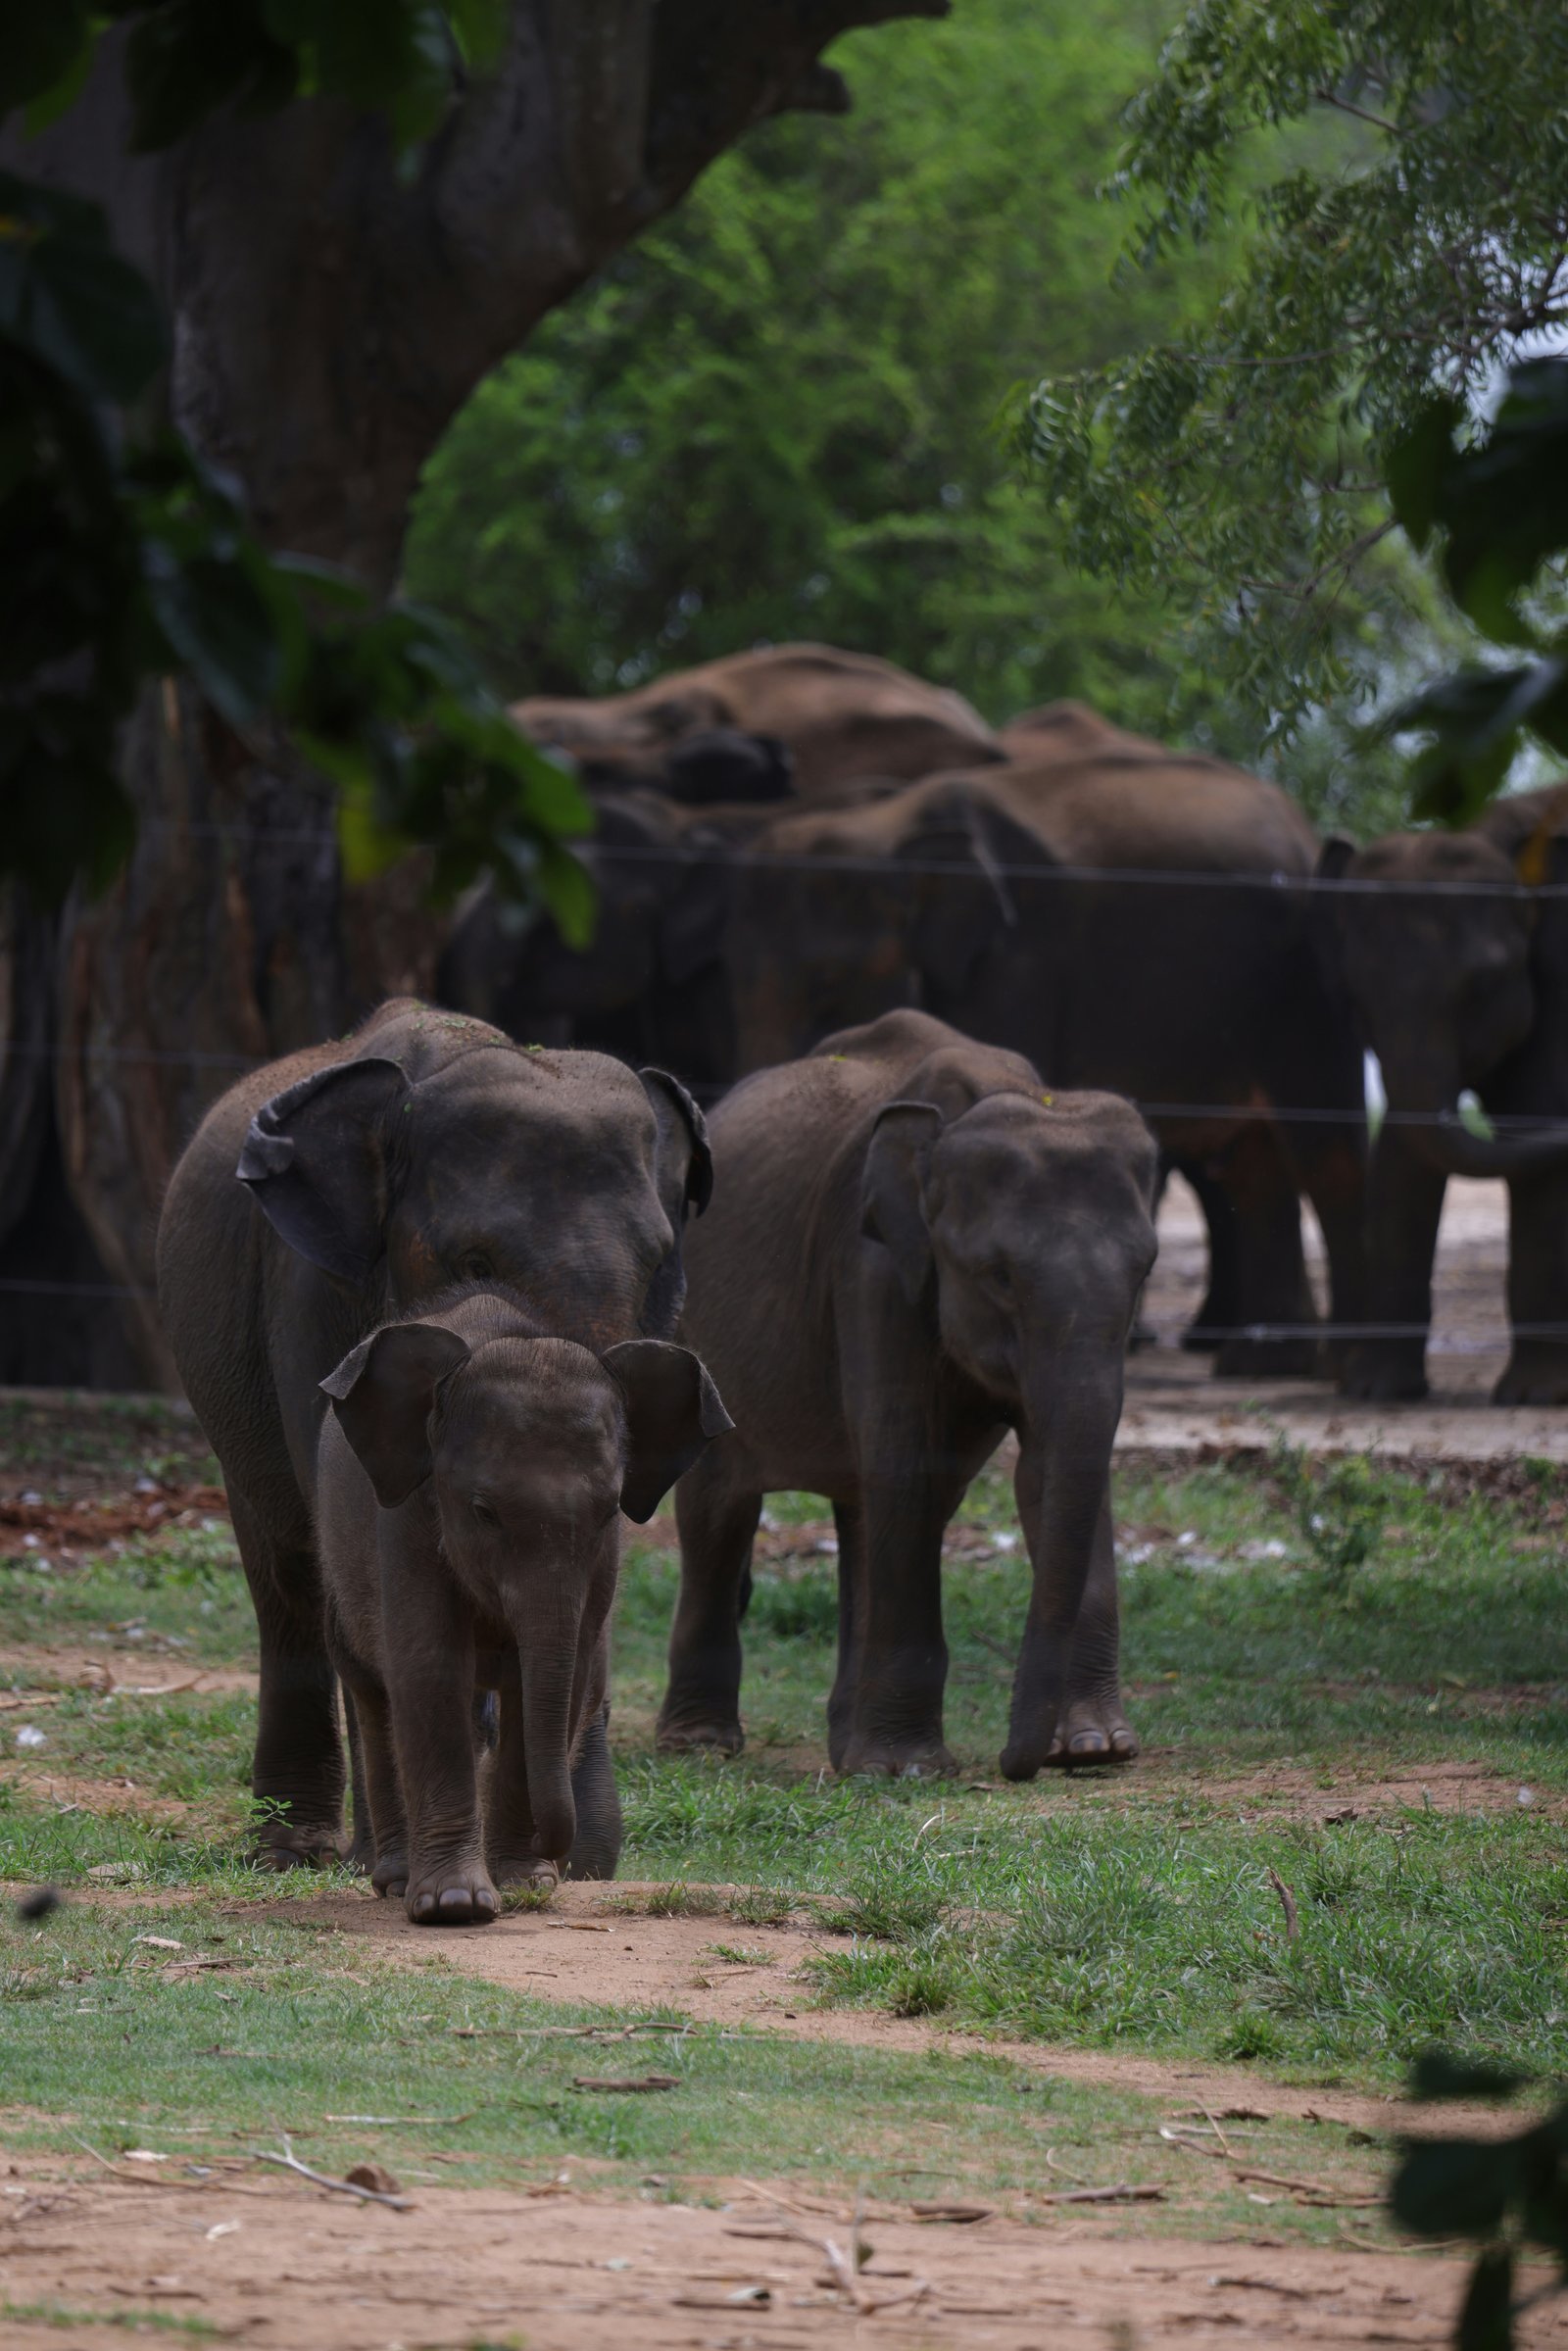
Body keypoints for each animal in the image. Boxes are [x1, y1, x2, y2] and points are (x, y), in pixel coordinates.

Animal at [155, 997, 710, 1867]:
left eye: (658, 1262)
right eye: (475, 1262)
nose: (571, 1852)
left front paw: (579, 1865)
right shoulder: (312, 1296)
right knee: (289, 1574)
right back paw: (297, 1846)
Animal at [316, 1296, 730, 1920]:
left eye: (609, 1511)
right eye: (483, 1511)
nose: (551, 1850)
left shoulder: (602, 1559)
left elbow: (565, 1676)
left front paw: (520, 1884)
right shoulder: (408, 1520)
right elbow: (429, 1668)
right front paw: (453, 1905)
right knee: (373, 1692)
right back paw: (396, 1880)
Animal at [660, 1010, 1158, 1779]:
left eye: (1145, 1271)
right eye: (999, 1275)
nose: (1016, 1762)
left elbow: (1049, 1469)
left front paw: (1098, 1749)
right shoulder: (871, 1267)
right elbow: (910, 1466)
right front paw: (907, 1769)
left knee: (863, 1508)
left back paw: (844, 1748)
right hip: (702, 1331)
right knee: (721, 1508)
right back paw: (701, 1744)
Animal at [721, 754, 1369, 1377]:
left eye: (827, 986)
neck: (890, 823)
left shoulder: (1018, 960)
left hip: (1305, 978)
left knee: (1322, 1152)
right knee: (1256, 1168)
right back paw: (1262, 1364)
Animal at [1319, 785, 1568, 1402]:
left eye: (1483, 985)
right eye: (1354, 993)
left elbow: (1540, 1128)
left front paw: (1533, 1396)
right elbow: (1401, 1156)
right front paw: (1376, 1391)